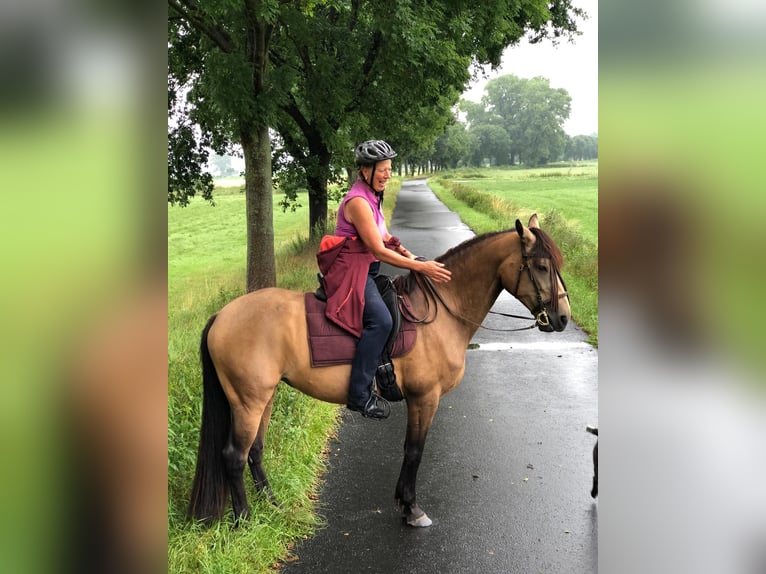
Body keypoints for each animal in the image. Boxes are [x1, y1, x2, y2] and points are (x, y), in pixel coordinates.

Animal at [187, 214, 570, 527]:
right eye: (540, 266)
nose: (563, 318)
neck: (442, 311)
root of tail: (221, 316)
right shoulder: (424, 398)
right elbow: (414, 451)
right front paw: (412, 508)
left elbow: (410, 450)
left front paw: (404, 502)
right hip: (248, 402)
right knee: (234, 457)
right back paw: (245, 519)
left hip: (261, 399)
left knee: (254, 451)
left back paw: (274, 506)